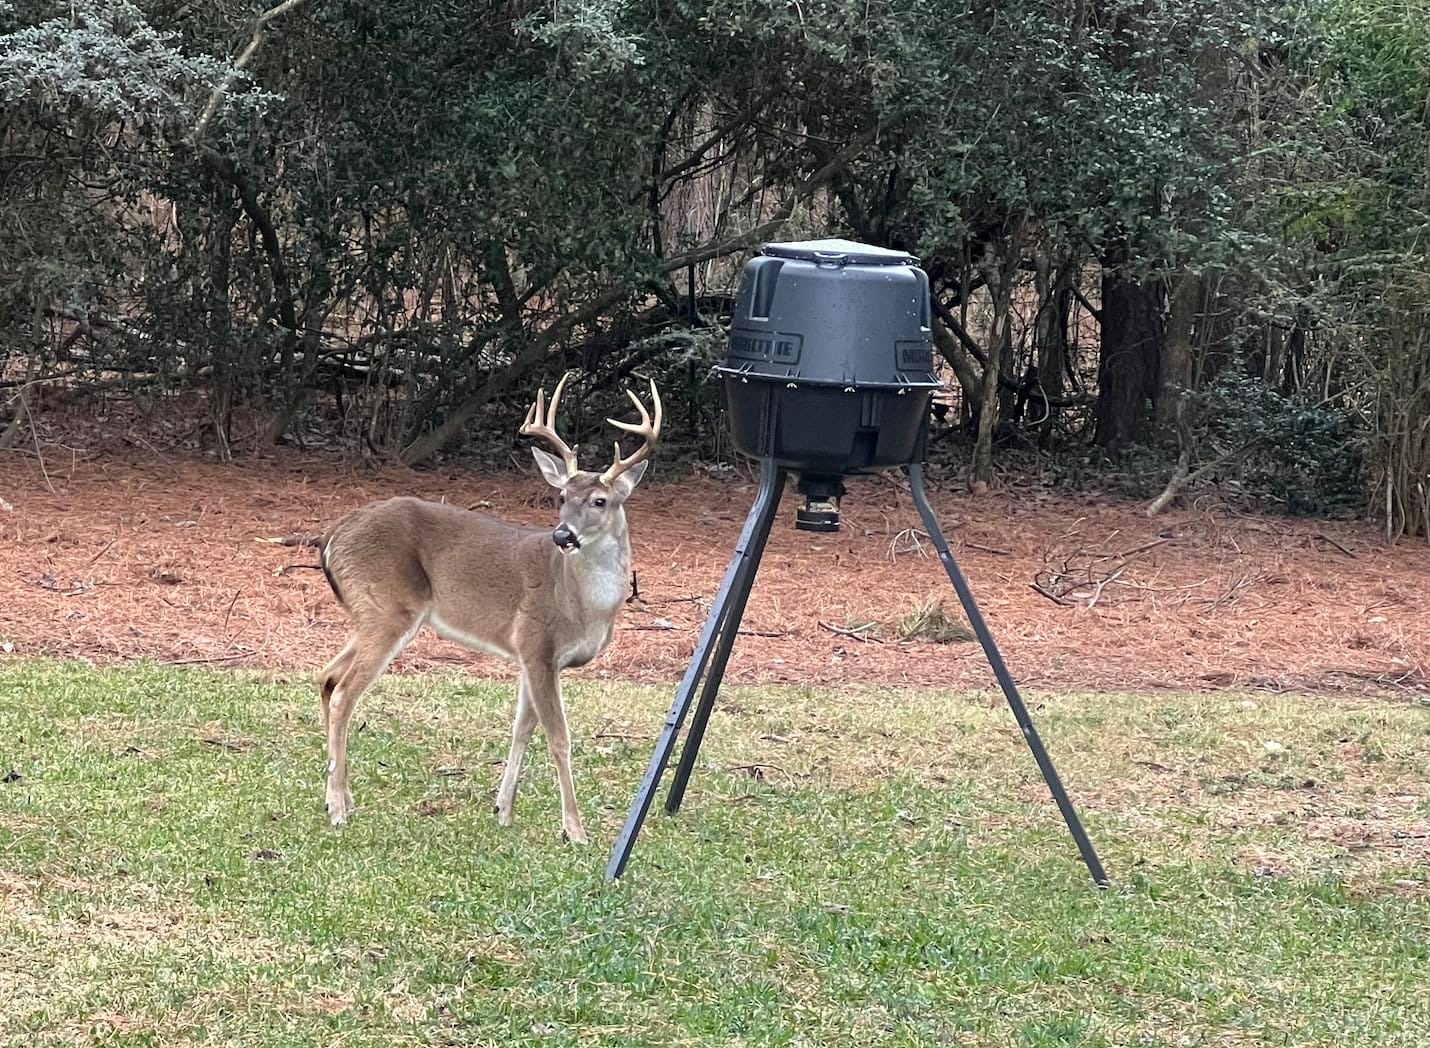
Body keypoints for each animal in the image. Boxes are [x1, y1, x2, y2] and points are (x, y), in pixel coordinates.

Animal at [312, 373, 661, 844]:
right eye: (562, 496)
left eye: (600, 501)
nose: (562, 535)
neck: (581, 604)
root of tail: (332, 535)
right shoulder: (536, 642)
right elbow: (559, 737)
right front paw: (575, 829)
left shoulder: (532, 657)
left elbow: (522, 729)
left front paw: (503, 810)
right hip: (387, 608)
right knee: (345, 691)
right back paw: (337, 807)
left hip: (373, 613)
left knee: (327, 676)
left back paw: (341, 796)